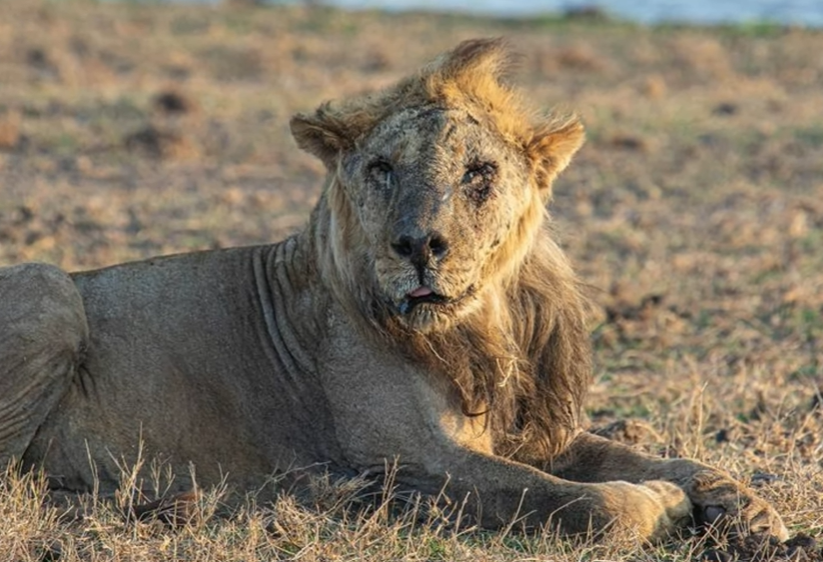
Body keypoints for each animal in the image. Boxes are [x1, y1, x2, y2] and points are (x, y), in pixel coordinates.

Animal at [0, 37, 788, 540]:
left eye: (478, 173)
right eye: (382, 168)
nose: (418, 247)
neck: (482, 330)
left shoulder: (531, 432)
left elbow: (666, 458)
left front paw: (747, 509)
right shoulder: (409, 457)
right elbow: (577, 503)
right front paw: (660, 505)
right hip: (49, 286)